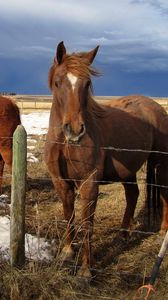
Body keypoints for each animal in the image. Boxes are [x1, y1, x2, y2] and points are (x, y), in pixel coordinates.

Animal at [44, 41, 168, 278]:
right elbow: (69, 215)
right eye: (58, 82)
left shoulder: (89, 183)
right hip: (128, 170)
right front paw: (67, 252)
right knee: (133, 195)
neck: (65, 144)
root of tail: (156, 107)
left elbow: (87, 223)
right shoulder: (60, 182)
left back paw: (163, 231)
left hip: (160, 165)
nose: (75, 130)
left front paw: (86, 271)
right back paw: (123, 235)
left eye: (87, 83)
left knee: (164, 195)